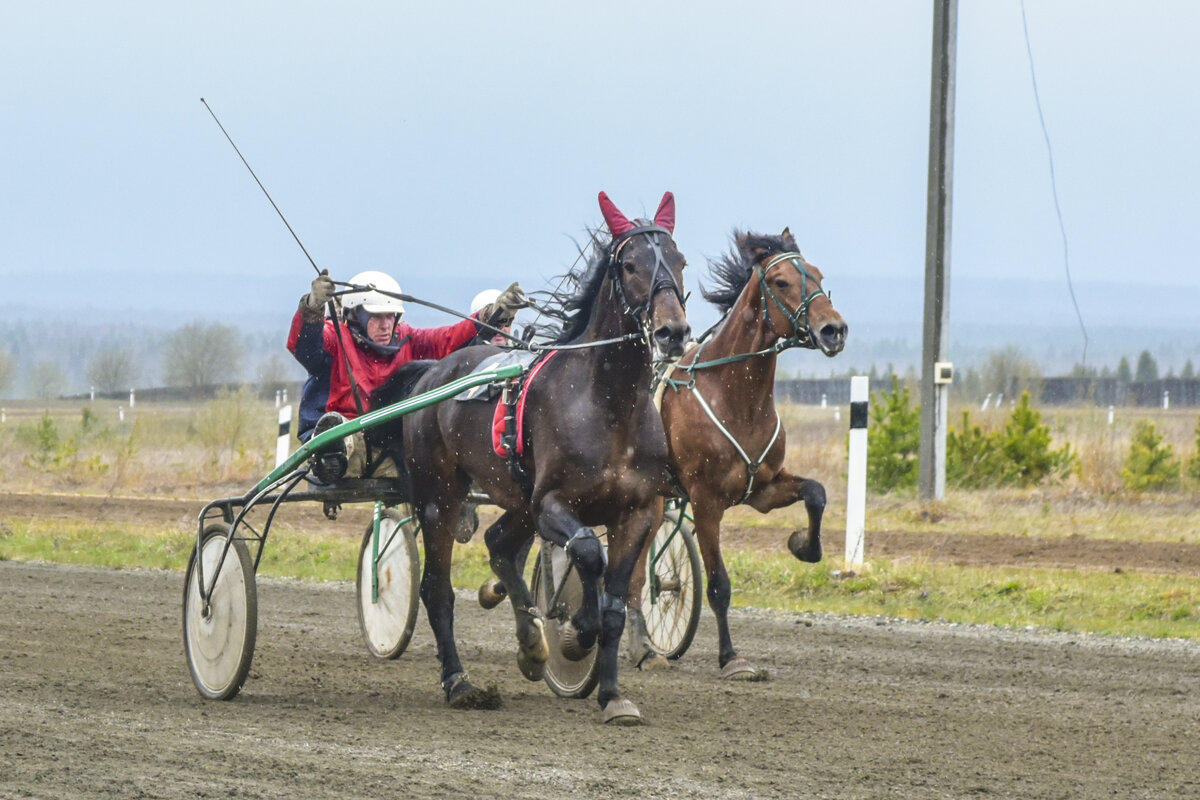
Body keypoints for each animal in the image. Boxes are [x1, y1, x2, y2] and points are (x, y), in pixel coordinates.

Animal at [398, 194, 691, 724]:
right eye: (631, 265)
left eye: (680, 262)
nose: (672, 332)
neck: (607, 405)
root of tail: (433, 372)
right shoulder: (552, 503)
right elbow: (588, 554)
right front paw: (577, 631)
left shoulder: (638, 512)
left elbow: (615, 604)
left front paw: (612, 694)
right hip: (440, 495)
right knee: (436, 588)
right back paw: (458, 682)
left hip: (516, 500)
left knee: (498, 543)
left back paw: (531, 647)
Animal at [628, 227, 844, 681]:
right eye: (781, 281)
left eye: (817, 274)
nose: (834, 329)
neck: (735, 395)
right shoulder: (706, 500)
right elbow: (719, 585)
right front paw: (731, 658)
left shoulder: (762, 488)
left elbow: (816, 493)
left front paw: (804, 545)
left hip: (652, 500)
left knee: (637, 570)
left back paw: (644, 647)